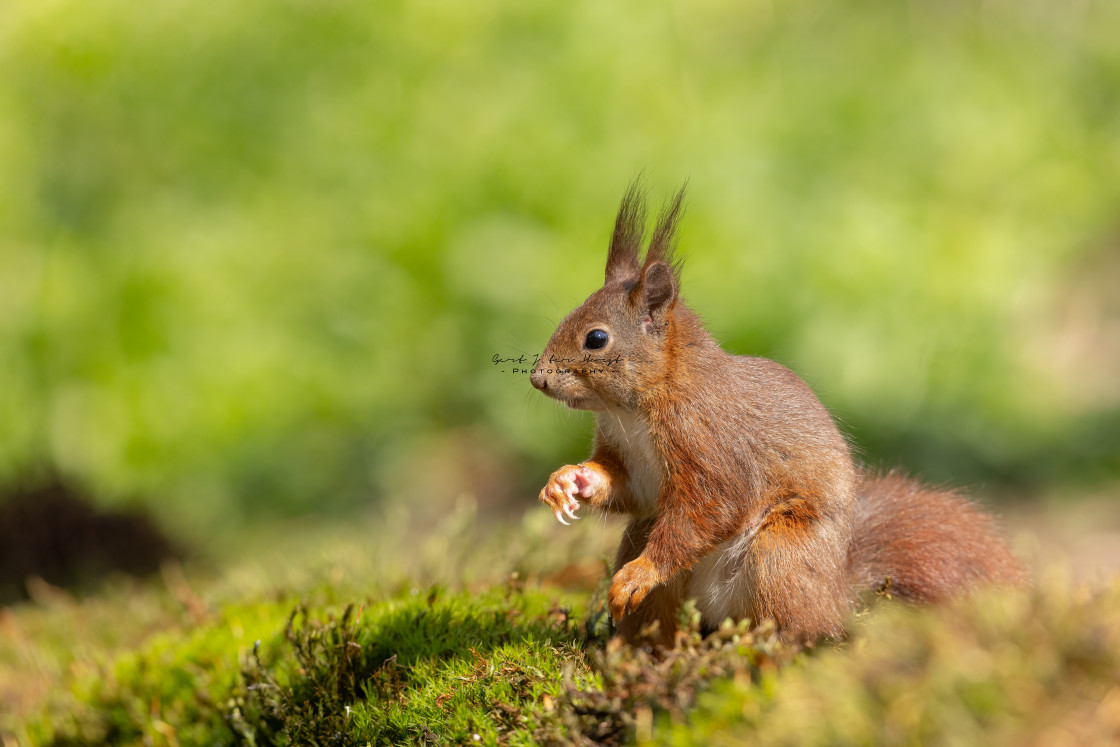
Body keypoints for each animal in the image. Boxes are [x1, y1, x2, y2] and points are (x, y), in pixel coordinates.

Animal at [533, 183, 1025, 645]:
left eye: (597, 339)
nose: (537, 378)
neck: (634, 411)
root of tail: (835, 596)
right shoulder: (629, 458)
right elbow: (625, 488)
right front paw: (567, 481)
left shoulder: (711, 444)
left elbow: (710, 510)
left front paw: (639, 574)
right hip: (650, 539)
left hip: (780, 555)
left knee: (795, 626)